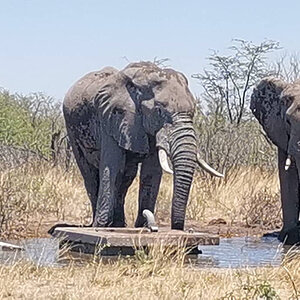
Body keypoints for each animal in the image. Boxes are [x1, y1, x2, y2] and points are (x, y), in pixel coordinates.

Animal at [63, 60, 223, 230]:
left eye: (193, 112)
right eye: (159, 111)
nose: (150, 222)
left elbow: (151, 171)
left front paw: (141, 225)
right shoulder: (111, 117)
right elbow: (113, 167)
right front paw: (101, 226)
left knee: (126, 177)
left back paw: (119, 225)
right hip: (71, 127)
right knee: (90, 176)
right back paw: (98, 224)